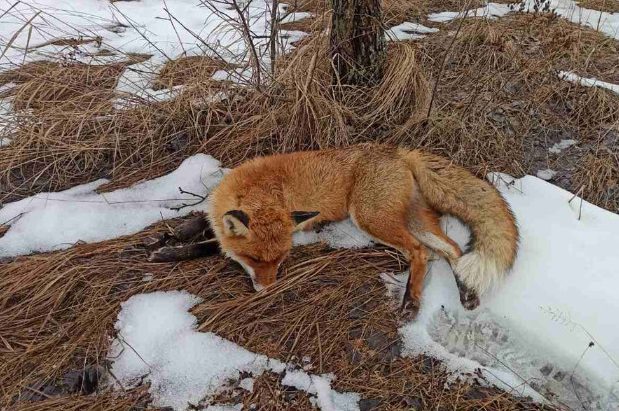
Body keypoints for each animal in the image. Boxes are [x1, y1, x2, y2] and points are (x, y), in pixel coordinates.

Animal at [200, 145, 520, 316]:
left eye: (279, 260)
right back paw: (466, 294)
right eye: (254, 259)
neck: (257, 189)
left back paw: (411, 301)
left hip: (369, 217)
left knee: (420, 252)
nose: (268, 291)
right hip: (414, 221)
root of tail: (399, 152)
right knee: (452, 250)